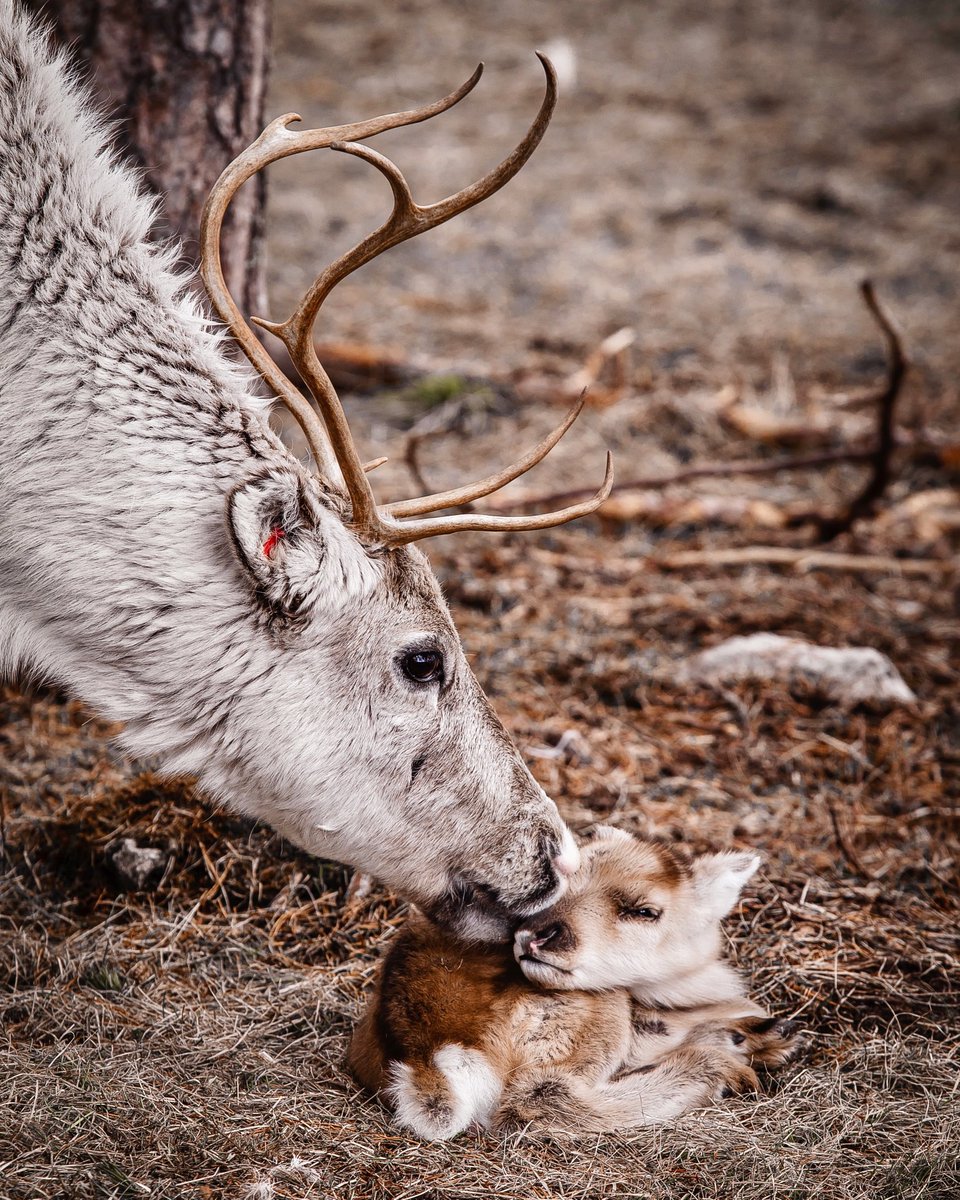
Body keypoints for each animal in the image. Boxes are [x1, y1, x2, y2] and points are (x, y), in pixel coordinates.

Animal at [347, 827, 800, 1138]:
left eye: (645, 911)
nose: (534, 935)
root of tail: (427, 1057)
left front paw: (761, 1033)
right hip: (595, 1006)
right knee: (539, 1097)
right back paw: (724, 1070)